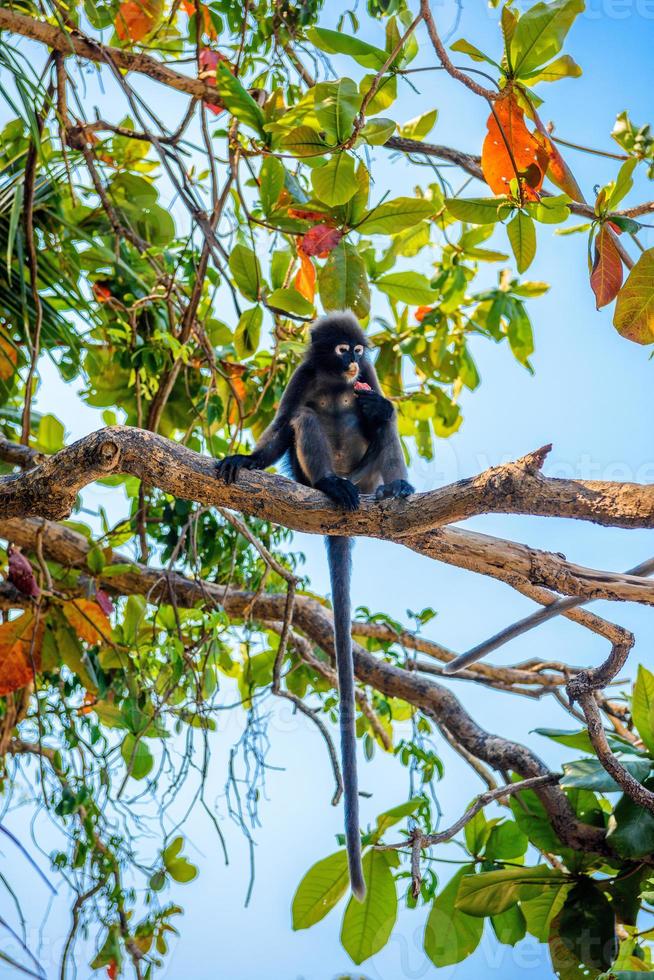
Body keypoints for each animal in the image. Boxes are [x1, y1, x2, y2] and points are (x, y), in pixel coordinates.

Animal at [217, 314, 416, 904]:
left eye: (359, 350)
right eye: (340, 349)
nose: (353, 362)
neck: (335, 379)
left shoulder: (369, 377)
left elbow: (382, 407)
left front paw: (377, 408)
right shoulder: (303, 376)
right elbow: (285, 422)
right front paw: (247, 459)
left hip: (370, 475)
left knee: (384, 427)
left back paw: (396, 487)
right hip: (322, 477)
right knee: (304, 422)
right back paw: (330, 485)